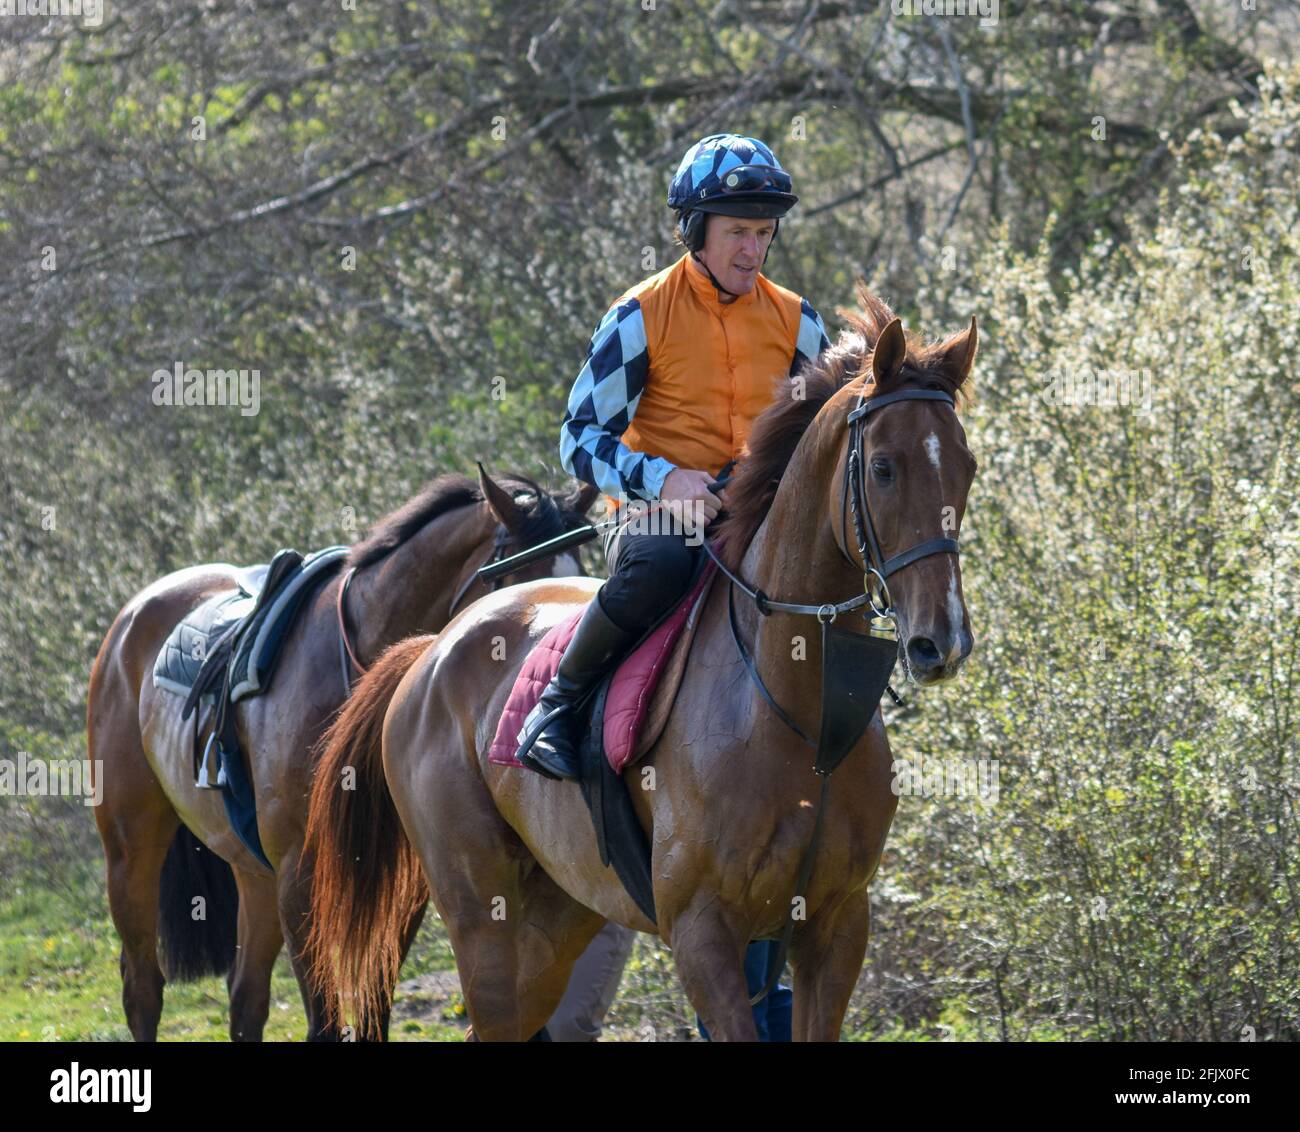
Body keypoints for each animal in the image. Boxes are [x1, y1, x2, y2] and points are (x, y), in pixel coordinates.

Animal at [89, 470, 595, 1044]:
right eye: (520, 578)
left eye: (580, 570)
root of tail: (132, 617)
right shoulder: (299, 872)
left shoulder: (398, 884)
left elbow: (374, 1011)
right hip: (131, 848)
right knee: (142, 988)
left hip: (253, 873)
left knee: (245, 997)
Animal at [304, 295, 977, 1044]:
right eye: (884, 467)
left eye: (968, 467)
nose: (941, 641)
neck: (798, 709)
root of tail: (431, 649)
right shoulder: (703, 931)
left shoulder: (835, 926)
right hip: (481, 916)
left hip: (559, 917)